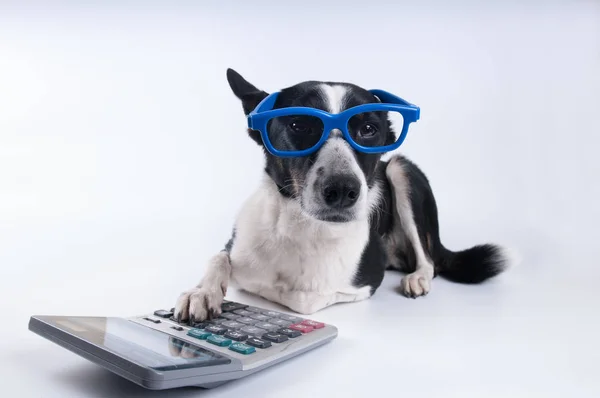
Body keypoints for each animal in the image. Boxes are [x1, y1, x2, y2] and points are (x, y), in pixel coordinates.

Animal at [171, 69, 508, 324]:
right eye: (298, 124)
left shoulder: (358, 282)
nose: (343, 191)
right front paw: (202, 292)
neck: (301, 227)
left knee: (429, 259)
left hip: (402, 169)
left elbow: (300, 297)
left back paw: (417, 277)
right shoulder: (238, 243)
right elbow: (219, 257)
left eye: (369, 129)